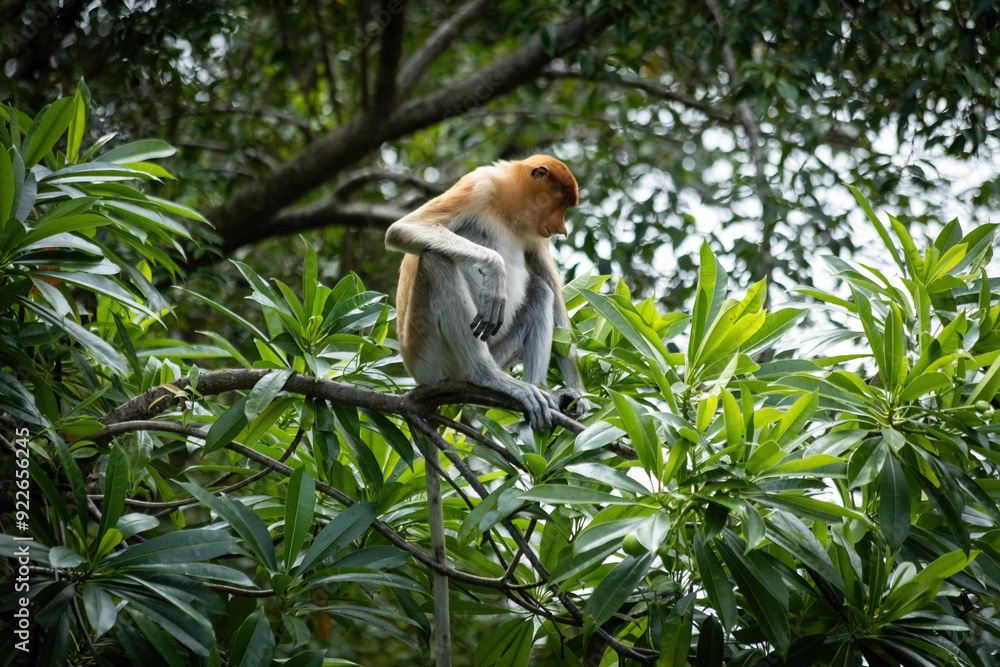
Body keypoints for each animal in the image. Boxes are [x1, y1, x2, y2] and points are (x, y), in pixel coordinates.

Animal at [385, 155, 587, 431]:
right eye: (562, 203)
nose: (562, 229)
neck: (508, 211)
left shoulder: (536, 234)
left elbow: (553, 290)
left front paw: (579, 395)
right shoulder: (479, 186)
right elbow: (404, 229)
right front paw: (495, 272)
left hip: (498, 351)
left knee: (541, 291)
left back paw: (540, 390)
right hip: (430, 356)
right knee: (436, 259)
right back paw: (486, 376)